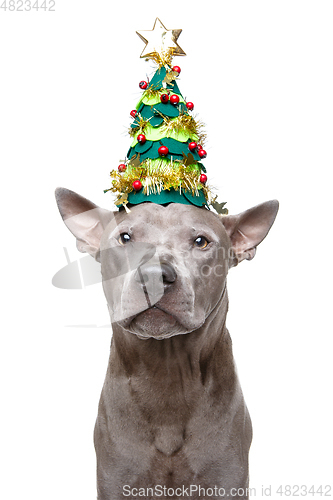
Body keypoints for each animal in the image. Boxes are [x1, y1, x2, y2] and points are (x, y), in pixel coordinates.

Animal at [55, 188, 278, 500]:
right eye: (125, 238)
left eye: (201, 241)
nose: (153, 274)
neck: (166, 369)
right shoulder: (117, 478)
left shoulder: (226, 478)